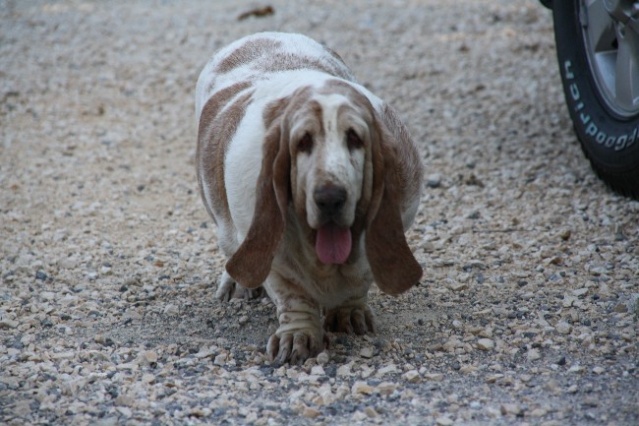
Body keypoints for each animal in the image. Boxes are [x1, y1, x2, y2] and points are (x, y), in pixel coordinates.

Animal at [198, 31, 422, 364]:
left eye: (354, 138)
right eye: (302, 142)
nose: (330, 197)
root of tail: (262, 35)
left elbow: (360, 279)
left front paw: (350, 314)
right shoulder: (274, 257)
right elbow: (293, 297)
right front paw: (297, 338)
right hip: (226, 227)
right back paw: (236, 285)